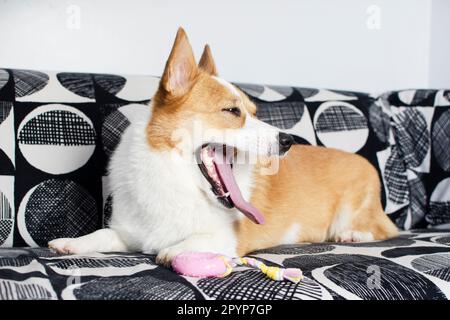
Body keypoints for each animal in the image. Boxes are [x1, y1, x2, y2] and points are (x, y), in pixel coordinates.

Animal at [49, 28, 398, 264]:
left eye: (255, 112)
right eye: (232, 111)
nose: (287, 141)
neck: (175, 179)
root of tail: (364, 162)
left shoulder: (227, 239)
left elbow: (189, 242)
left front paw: (172, 251)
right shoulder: (129, 232)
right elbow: (104, 235)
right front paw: (70, 243)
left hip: (356, 211)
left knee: (385, 229)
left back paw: (352, 234)